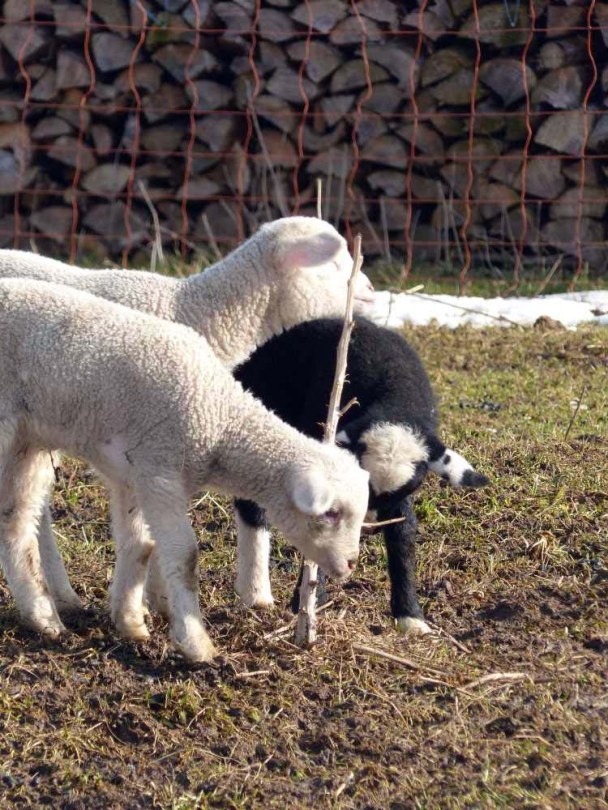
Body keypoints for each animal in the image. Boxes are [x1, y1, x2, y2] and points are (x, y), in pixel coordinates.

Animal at [233, 316, 489, 634]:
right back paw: (256, 592)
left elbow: (404, 532)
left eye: (409, 488)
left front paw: (411, 617)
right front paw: (311, 599)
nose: (368, 525)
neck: (394, 392)